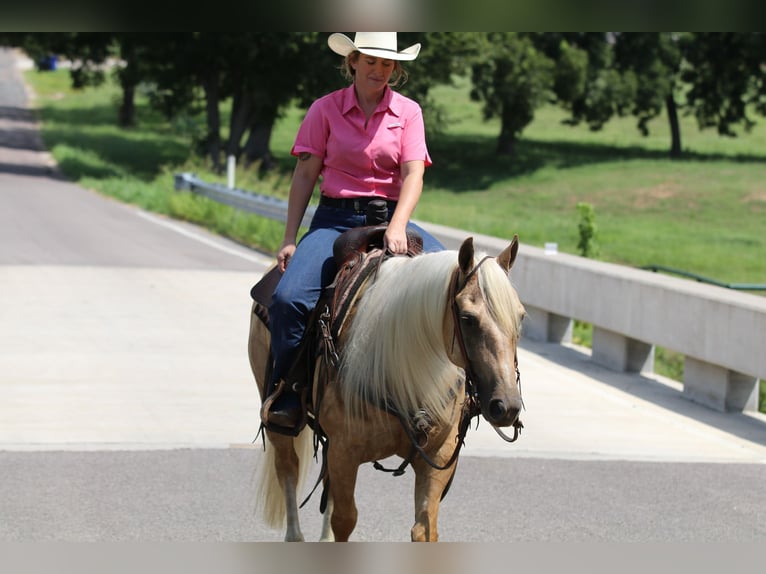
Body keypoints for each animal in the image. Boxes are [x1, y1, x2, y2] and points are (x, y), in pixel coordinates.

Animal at [248, 234, 526, 542]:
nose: (506, 406)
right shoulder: (345, 452)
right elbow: (345, 519)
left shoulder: (438, 459)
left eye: (521, 316)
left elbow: (424, 528)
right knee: (288, 468)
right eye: (467, 318)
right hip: (278, 416)